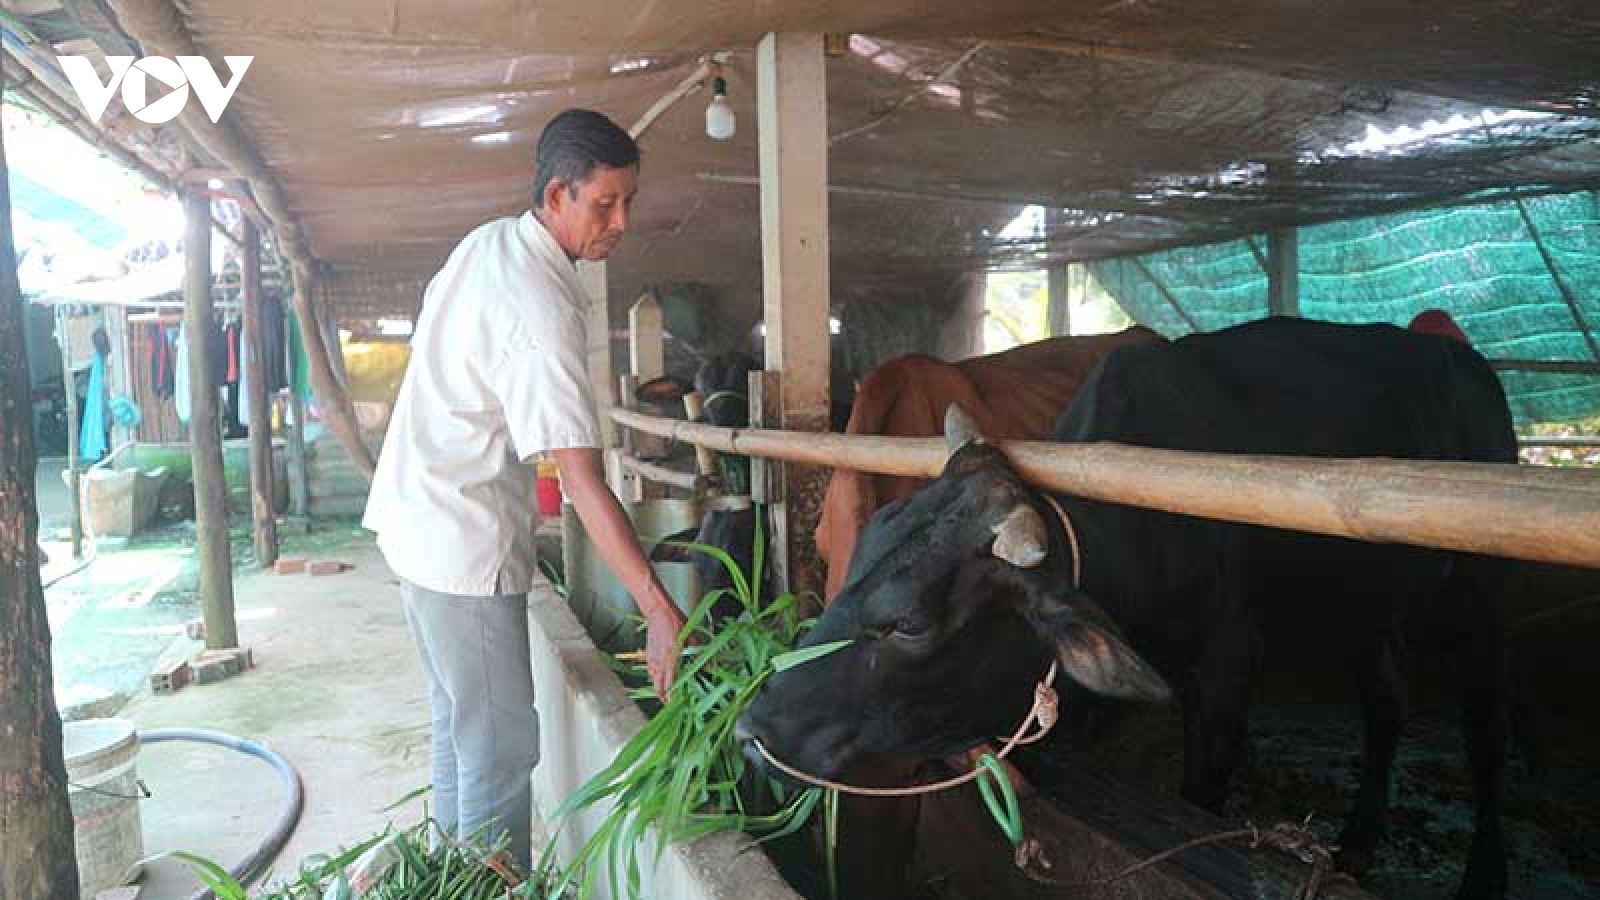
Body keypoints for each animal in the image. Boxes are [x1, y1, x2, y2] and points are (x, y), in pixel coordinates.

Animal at [742, 318, 1516, 896]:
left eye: (910, 623)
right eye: (845, 555)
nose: (750, 728)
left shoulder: (1225, 669)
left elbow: (1201, 797)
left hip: (1481, 595)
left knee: (1485, 730)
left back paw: (1484, 874)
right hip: (1369, 606)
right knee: (1386, 701)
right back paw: (1356, 841)